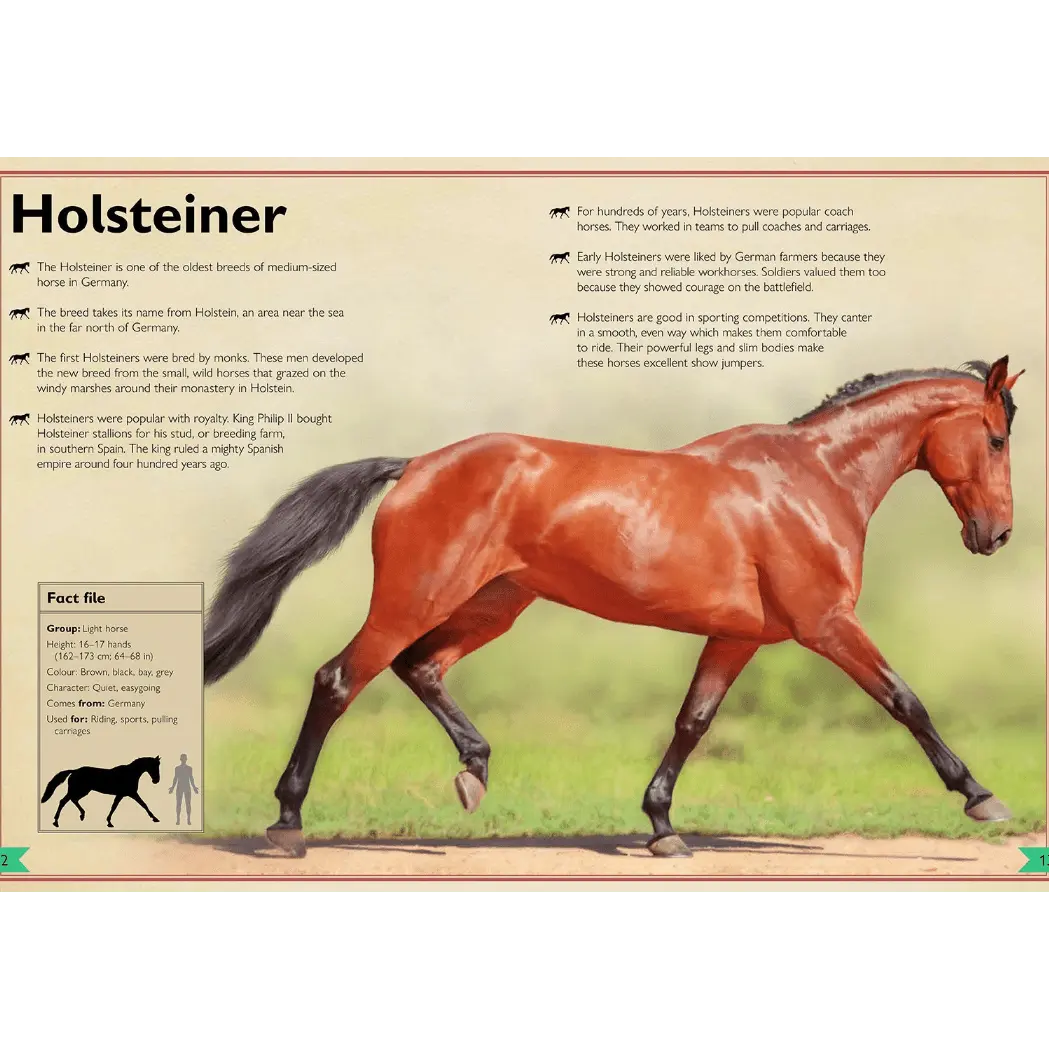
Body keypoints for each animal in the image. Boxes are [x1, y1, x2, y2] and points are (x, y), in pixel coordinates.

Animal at [203, 357, 1023, 858]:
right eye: (994, 436)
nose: (995, 535)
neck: (810, 481)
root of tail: (416, 465)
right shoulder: (827, 625)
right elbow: (905, 700)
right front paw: (980, 795)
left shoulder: (736, 638)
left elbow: (693, 722)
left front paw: (661, 826)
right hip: (413, 598)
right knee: (341, 679)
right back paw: (288, 822)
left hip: (495, 602)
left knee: (420, 667)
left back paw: (475, 770)